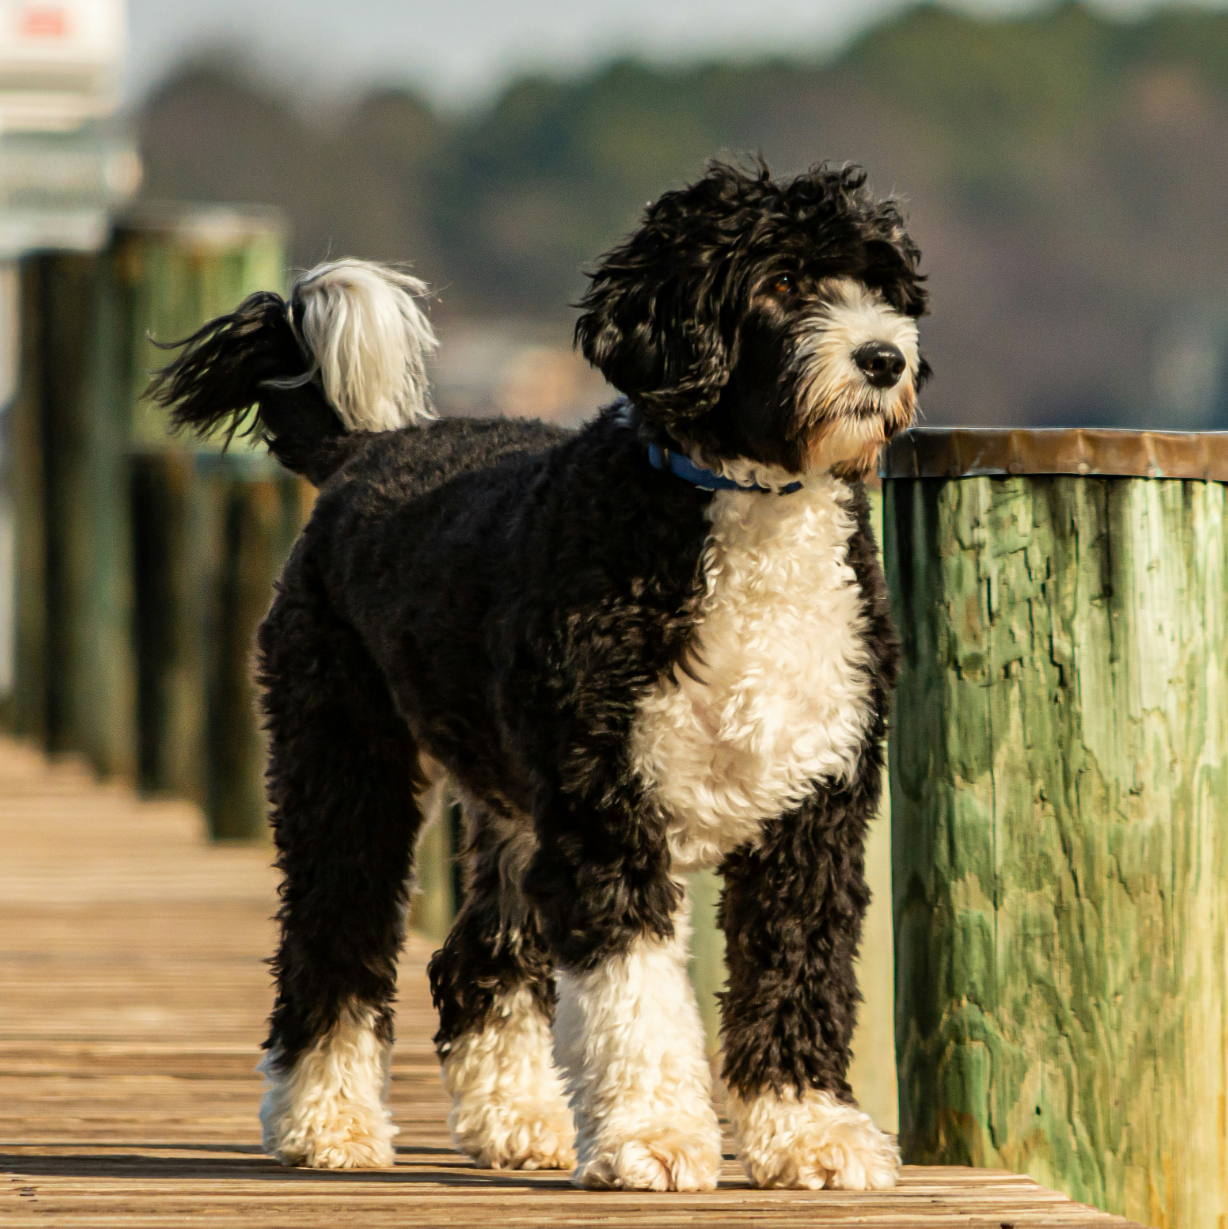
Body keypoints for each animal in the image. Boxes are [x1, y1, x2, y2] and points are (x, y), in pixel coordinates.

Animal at [148, 160, 924, 1189]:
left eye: (883, 286)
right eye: (785, 281)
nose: (883, 358)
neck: (738, 506)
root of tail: (366, 451)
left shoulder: (813, 807)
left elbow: (797, 966)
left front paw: (808, 1132)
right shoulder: (607, 812)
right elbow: (635, 994)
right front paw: (654, 1136)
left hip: (509, 806)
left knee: (476, 959)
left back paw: (516, 1117)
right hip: (344, 763)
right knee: (334, 935)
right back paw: (326, 1120)